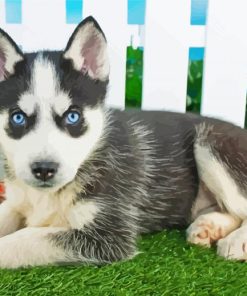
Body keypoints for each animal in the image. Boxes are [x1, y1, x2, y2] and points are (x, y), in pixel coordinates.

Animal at [0, 16, 246, 268]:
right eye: (18, 118)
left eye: (73, 116)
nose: (44, 169)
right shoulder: (15, 201)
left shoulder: (109, 234)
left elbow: (27, 238)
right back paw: (208, 227)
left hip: (211, 142)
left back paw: (236, 241)